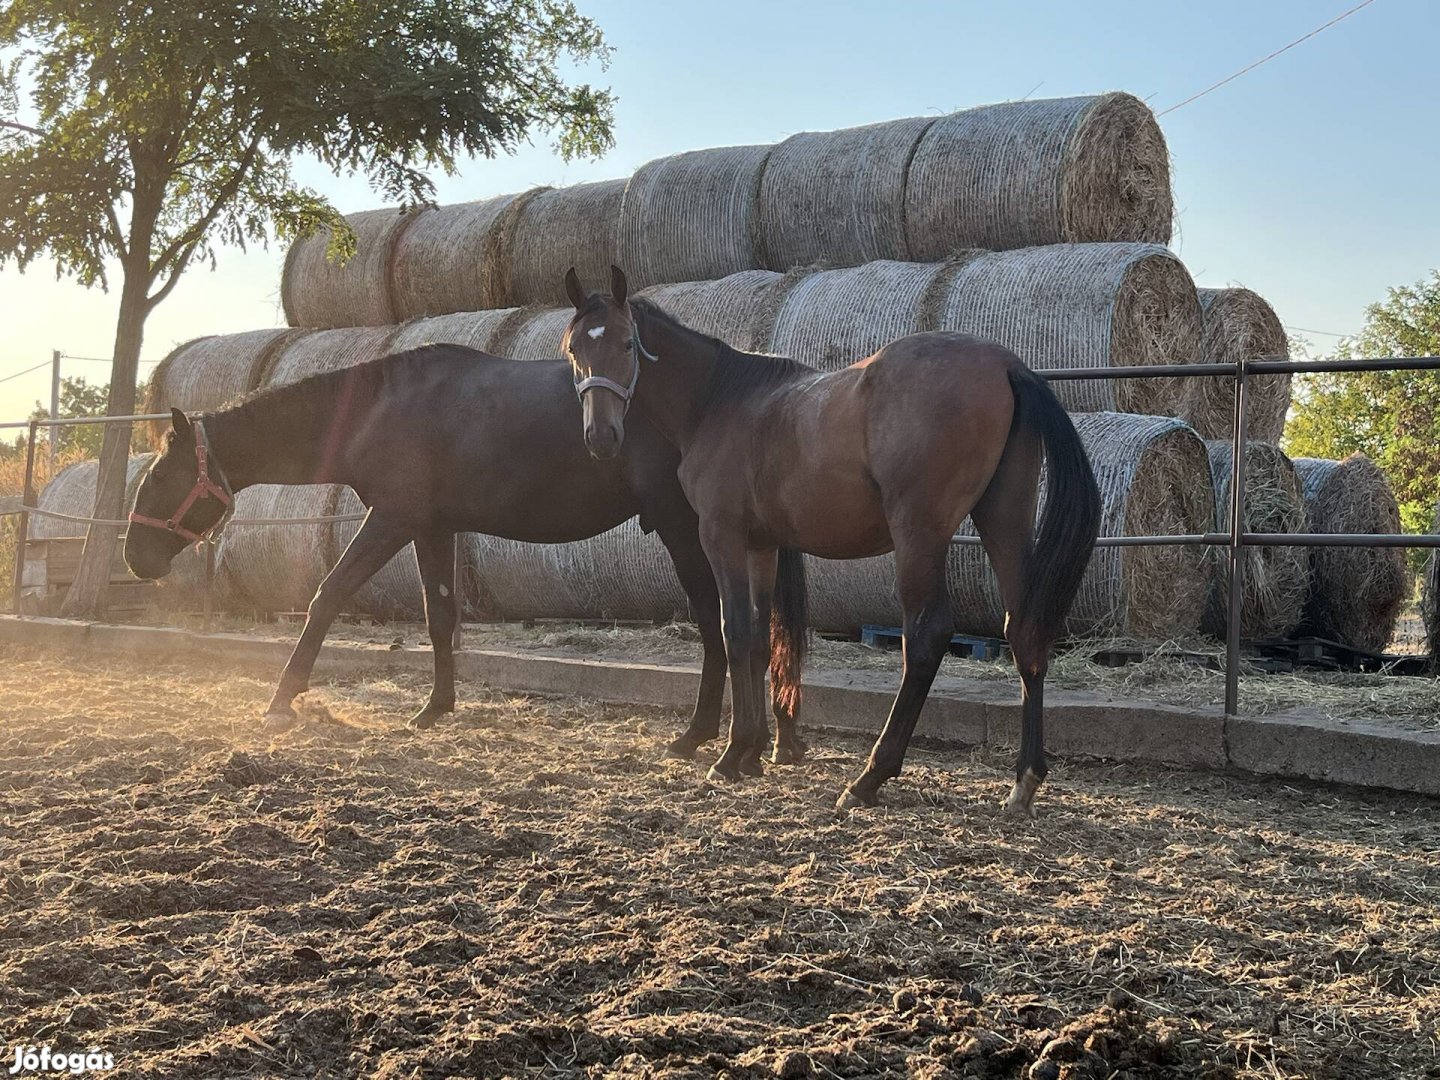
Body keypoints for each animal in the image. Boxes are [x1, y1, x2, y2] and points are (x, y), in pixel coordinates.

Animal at [123, 347, 812, 754]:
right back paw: (776, 738)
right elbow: (439, 615)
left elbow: (328, 595)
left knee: (717, 625)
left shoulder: (391, 519)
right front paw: (435, 708)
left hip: (683, 530)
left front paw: (281, 700)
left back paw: (699, 735)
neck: (379, 408)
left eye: (158, 477)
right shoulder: (431, 528)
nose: (134, 559)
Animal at [561, 266, 1100, 817]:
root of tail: (1006, 365)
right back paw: (1023, 781)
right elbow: (760, 638)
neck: (719, 400)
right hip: (1004, 523)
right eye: (574, 348)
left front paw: (732, 754)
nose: (600, 436)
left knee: (925, 636)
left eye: (628, 344)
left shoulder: (722, 536)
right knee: (1023, 631)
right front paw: (753, 751)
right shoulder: (762, 546)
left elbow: (735, 632)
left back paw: (870, 776)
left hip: (919, 536)